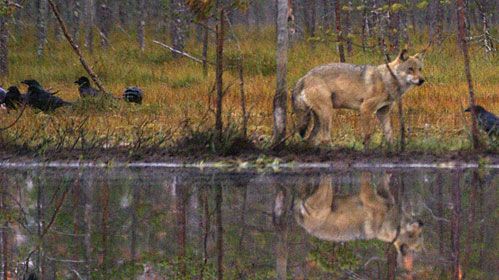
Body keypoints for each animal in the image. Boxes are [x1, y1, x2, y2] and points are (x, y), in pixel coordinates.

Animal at [292, 48, 428, 145]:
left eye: (420, 69)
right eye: (410, 69)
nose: (422, 80)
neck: (387, 80)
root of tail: (303, 77)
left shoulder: (382, 112)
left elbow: (390, 135)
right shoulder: (365, 109)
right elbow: (367, 136)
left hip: (318, 119)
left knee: (310, 139)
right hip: (327, 114)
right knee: (325, 139)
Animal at [294, 173, 424, 270]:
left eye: (416, 243)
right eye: (419, 236)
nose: (421, 222)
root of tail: (302, 220)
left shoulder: (368, 196)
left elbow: (367, 180)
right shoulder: (381, 196)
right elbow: (380, 184)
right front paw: (387, 175)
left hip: (325, 200)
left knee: (320, 183)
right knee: (304, 190)